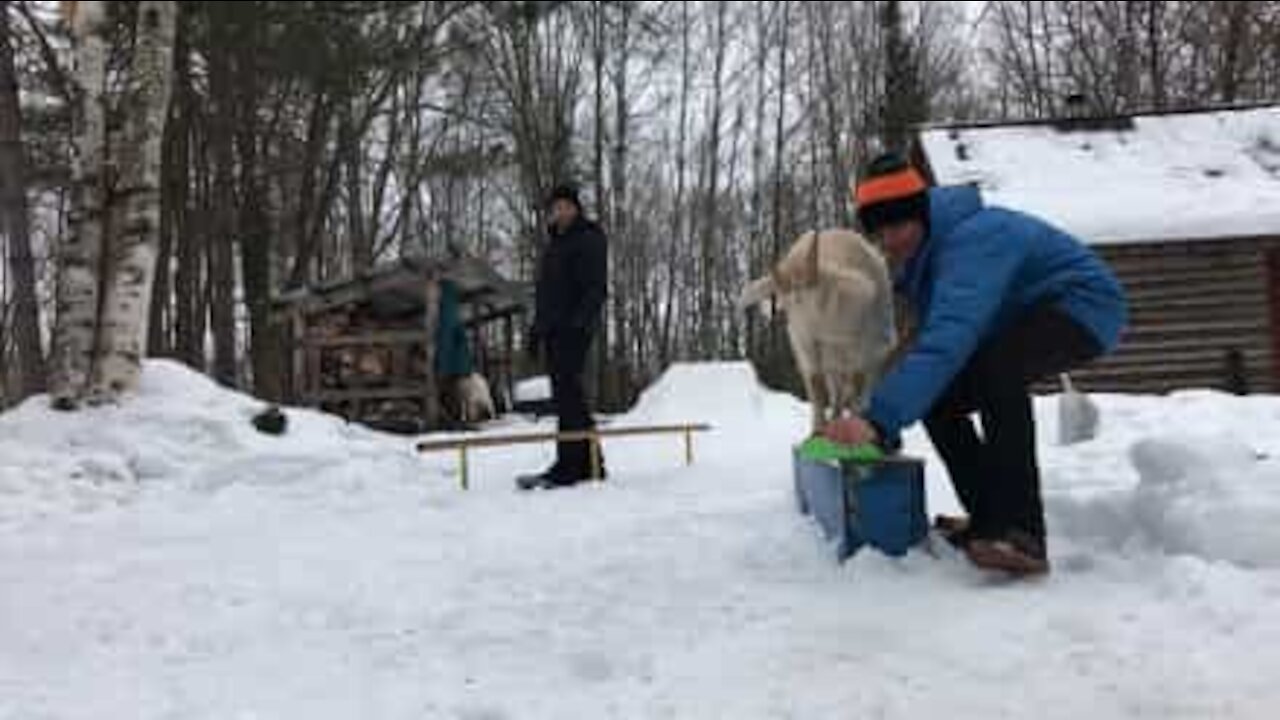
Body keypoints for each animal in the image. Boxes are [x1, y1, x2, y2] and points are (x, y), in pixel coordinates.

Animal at [742, 226, 901, 435]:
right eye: (786, 306)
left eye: (818, 298)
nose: (804, 333)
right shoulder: (809, 354)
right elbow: (817, 388)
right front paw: (818, 430)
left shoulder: (864, 353)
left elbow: (858, 390)